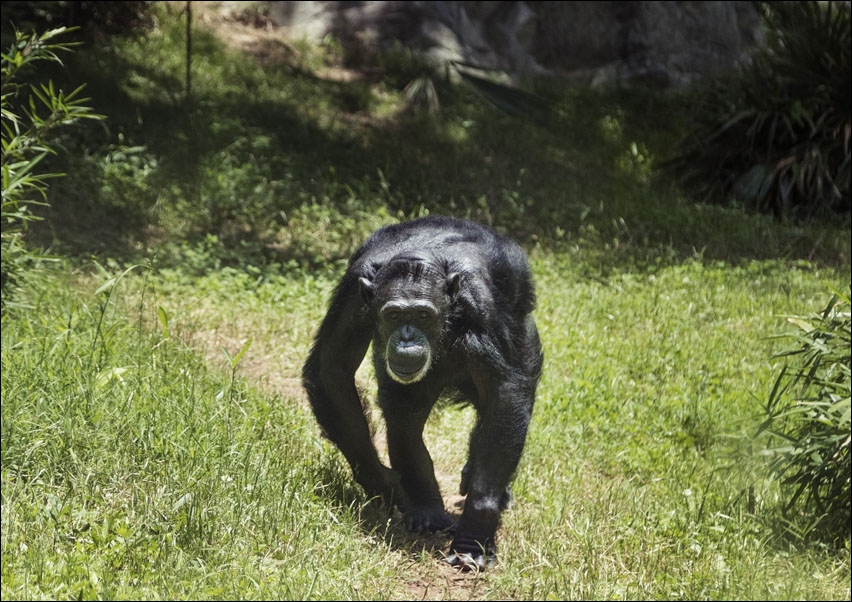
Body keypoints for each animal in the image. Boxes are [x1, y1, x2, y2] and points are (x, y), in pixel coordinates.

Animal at [302, 214, 544, 568]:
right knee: (404, 414)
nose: (406, 337)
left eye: (422, 315)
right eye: (393, 315)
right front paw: (382, 484)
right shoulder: (353, 293)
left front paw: (476, 531)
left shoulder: (483, 302)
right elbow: (331, 368)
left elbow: (506, 390)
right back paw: (425, 507)